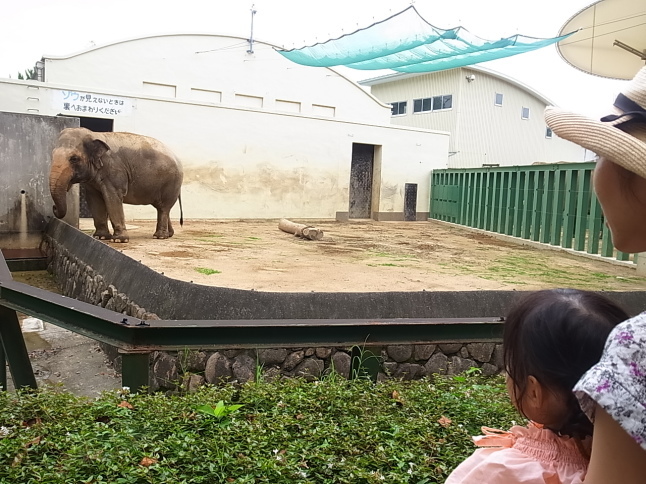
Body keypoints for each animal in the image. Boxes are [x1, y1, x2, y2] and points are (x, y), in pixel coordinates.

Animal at [48, 127, 182, 242]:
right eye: (52, 155)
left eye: (74, 159)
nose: (53, 208)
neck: (94, 134)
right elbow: (94, 200)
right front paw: (100, 237)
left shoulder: (114, 171)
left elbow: (112, 198)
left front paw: (119, 240)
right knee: (162, 208)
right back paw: (169, 234)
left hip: (171, 183)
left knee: (164, 207)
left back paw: (160, 237)